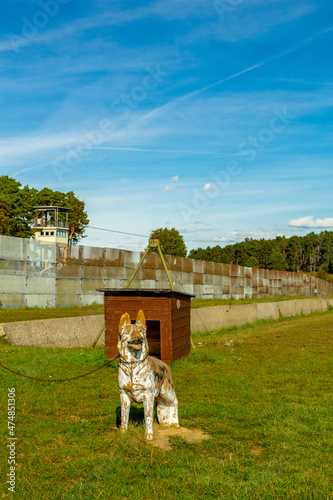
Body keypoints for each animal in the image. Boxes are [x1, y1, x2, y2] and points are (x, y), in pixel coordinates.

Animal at [116, 308, 179, 442]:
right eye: (128, 331)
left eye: (141, 331)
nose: (139, 338)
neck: (132, 365)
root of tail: (166, 365)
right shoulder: (124, 396)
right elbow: (124, 417)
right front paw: (123, 433)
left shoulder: (147, 395)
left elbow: (148, 416)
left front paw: (149, 436)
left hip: (166, 392)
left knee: (174, 402)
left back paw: (174, 423)